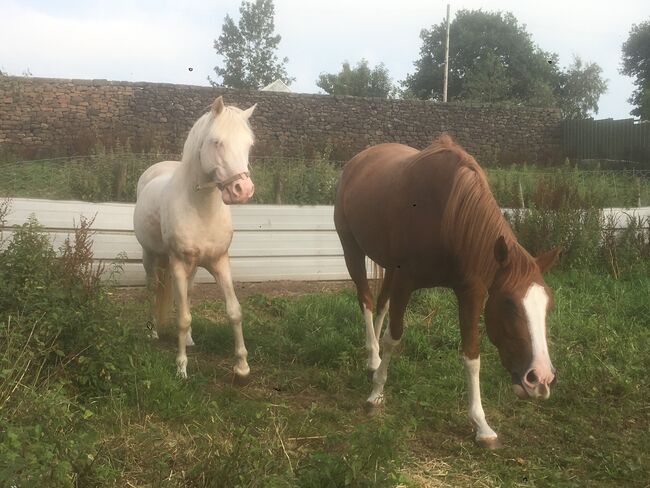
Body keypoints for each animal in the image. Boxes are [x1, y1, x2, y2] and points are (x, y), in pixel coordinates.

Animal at [133, 96, 256, 379]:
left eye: (249, 144)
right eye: (217, 142)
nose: (243, 190)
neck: (201, 207)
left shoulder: (219, 262)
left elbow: (234, 312)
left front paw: (242, 366)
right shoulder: (178, 264)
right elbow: (183, 317)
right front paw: (181, 368)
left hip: (193, 268)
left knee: (187, 294)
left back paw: (188, 339)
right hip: (151, 256)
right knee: (153, 289)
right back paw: (152, 331)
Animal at [334, 135, 559, 448]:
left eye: (548, 306)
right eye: (509, 304)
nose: (540, 379)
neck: (446, 217)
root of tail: (358, 160)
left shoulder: (471, 291)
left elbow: (472, 355)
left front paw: (482, 425)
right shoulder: (405, 281)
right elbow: (394, 338)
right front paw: (376, 394)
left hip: (387, 267)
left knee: (380, 305)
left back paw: (373, 359)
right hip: (352, 250)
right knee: (366, 301)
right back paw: (373, 355)